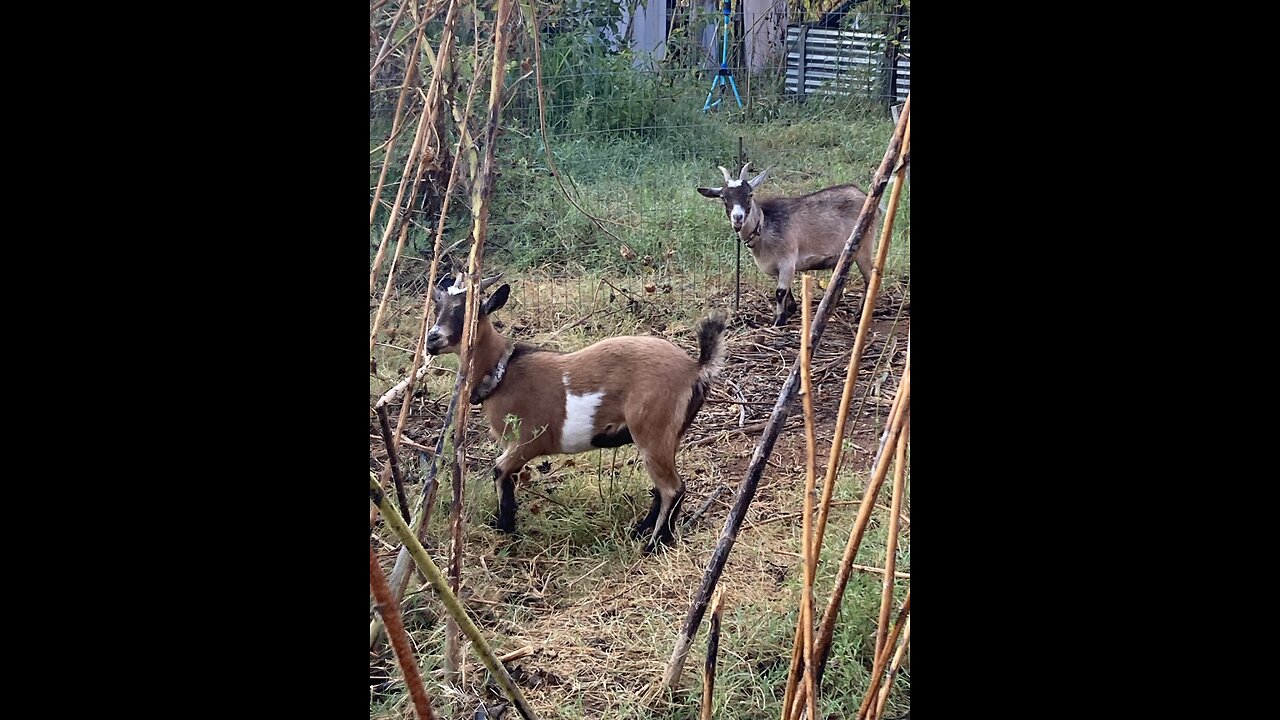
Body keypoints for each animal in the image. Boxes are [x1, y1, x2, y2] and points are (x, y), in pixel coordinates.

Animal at [427, 274, 732, 548]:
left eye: (471, 311)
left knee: (672, 487)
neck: (502, 371)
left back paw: (655, 544)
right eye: (437, 306)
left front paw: (506, 528)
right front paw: (504, 526)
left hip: (653, 429)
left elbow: (499, 470)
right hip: (667, 435)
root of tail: (695, 367)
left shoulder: (527, 441)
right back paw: (639, 531)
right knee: (661, 486)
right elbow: (505, 476)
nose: (432, 339)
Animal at [701, 162, 880, 325]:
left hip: (864, 246)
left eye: (750, 194)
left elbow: (780, 292)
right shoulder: (776, 266)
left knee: (870, 277)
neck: (764, 226)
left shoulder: (787, 260)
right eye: (723, 197)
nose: (737, 218)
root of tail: (864, 195)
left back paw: (859, 314)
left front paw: (778, 320)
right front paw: (791, 309)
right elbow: (785, 290)